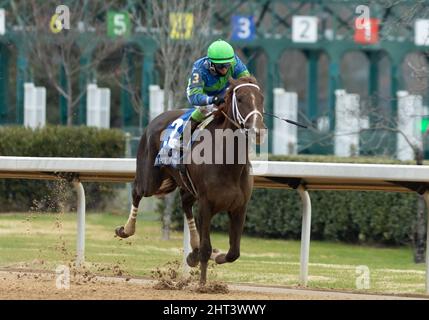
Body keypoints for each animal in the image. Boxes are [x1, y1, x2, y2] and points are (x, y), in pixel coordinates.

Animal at [115, 75, 266, 284]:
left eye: (261, 98)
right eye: (241, 99)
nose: (258, 131)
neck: (228, 164)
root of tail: (157, 118)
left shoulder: (239, 207)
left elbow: (233, 252)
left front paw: (213, 257)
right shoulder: (206, 204)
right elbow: (206, 248)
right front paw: (202, 284)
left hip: (184, 184)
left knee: (185, 204)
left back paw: (192, 248)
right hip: (151, 181)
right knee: (137, 190)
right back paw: (127, 229)